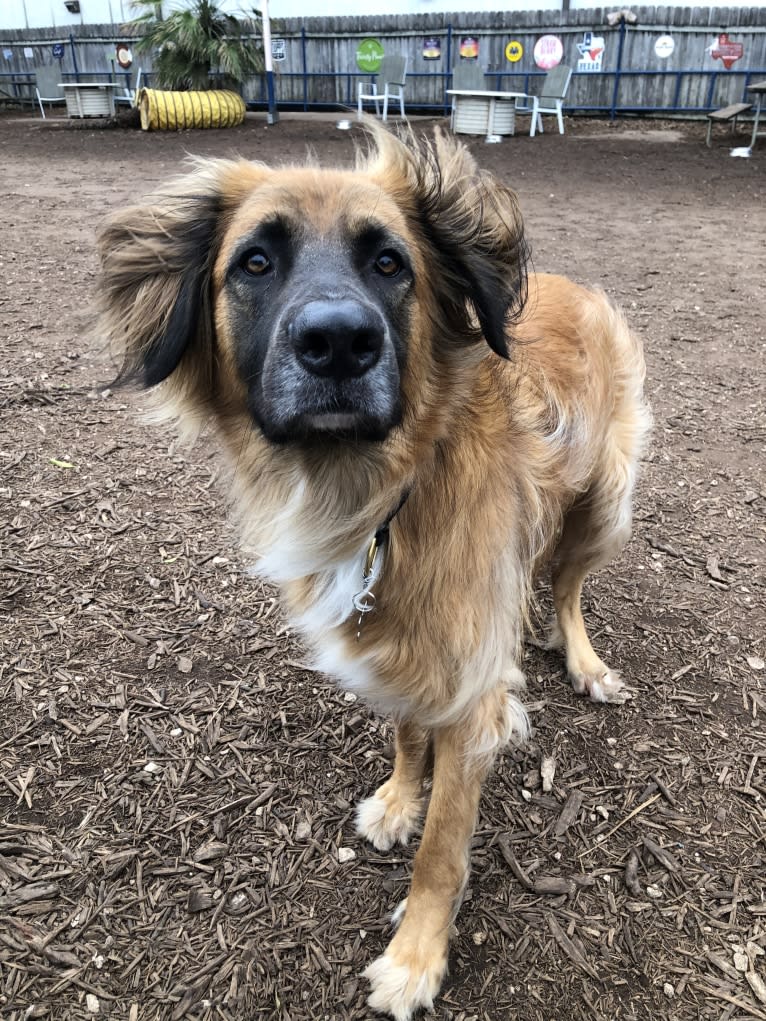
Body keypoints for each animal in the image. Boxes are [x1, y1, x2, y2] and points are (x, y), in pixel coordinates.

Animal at [94, 125, 649, 1021]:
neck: (382, 494)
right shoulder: (401, 646)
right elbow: (404, 727)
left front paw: (415, 955)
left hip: (606, 505)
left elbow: (442, 851)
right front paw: (397, 796)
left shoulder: (470, 698)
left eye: (390, 262)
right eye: (255, 262)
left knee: (568, 586)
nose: (339, 342)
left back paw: (584, 661)